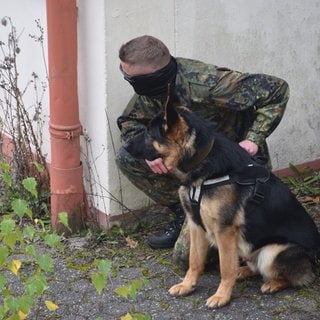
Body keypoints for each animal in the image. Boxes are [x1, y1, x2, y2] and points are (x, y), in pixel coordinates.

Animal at [124, 100, 320, 308]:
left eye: (148, 132)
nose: (125, 145)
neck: (203, 161)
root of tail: (316, 256)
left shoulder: (224, 230)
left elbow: (225, 268)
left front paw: (222, 296)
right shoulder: (196, 225)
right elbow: (194, 261)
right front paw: (187, 285)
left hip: (272, 251)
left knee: (300, 277)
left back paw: (272, 283)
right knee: (254, 267)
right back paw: (242, 271)